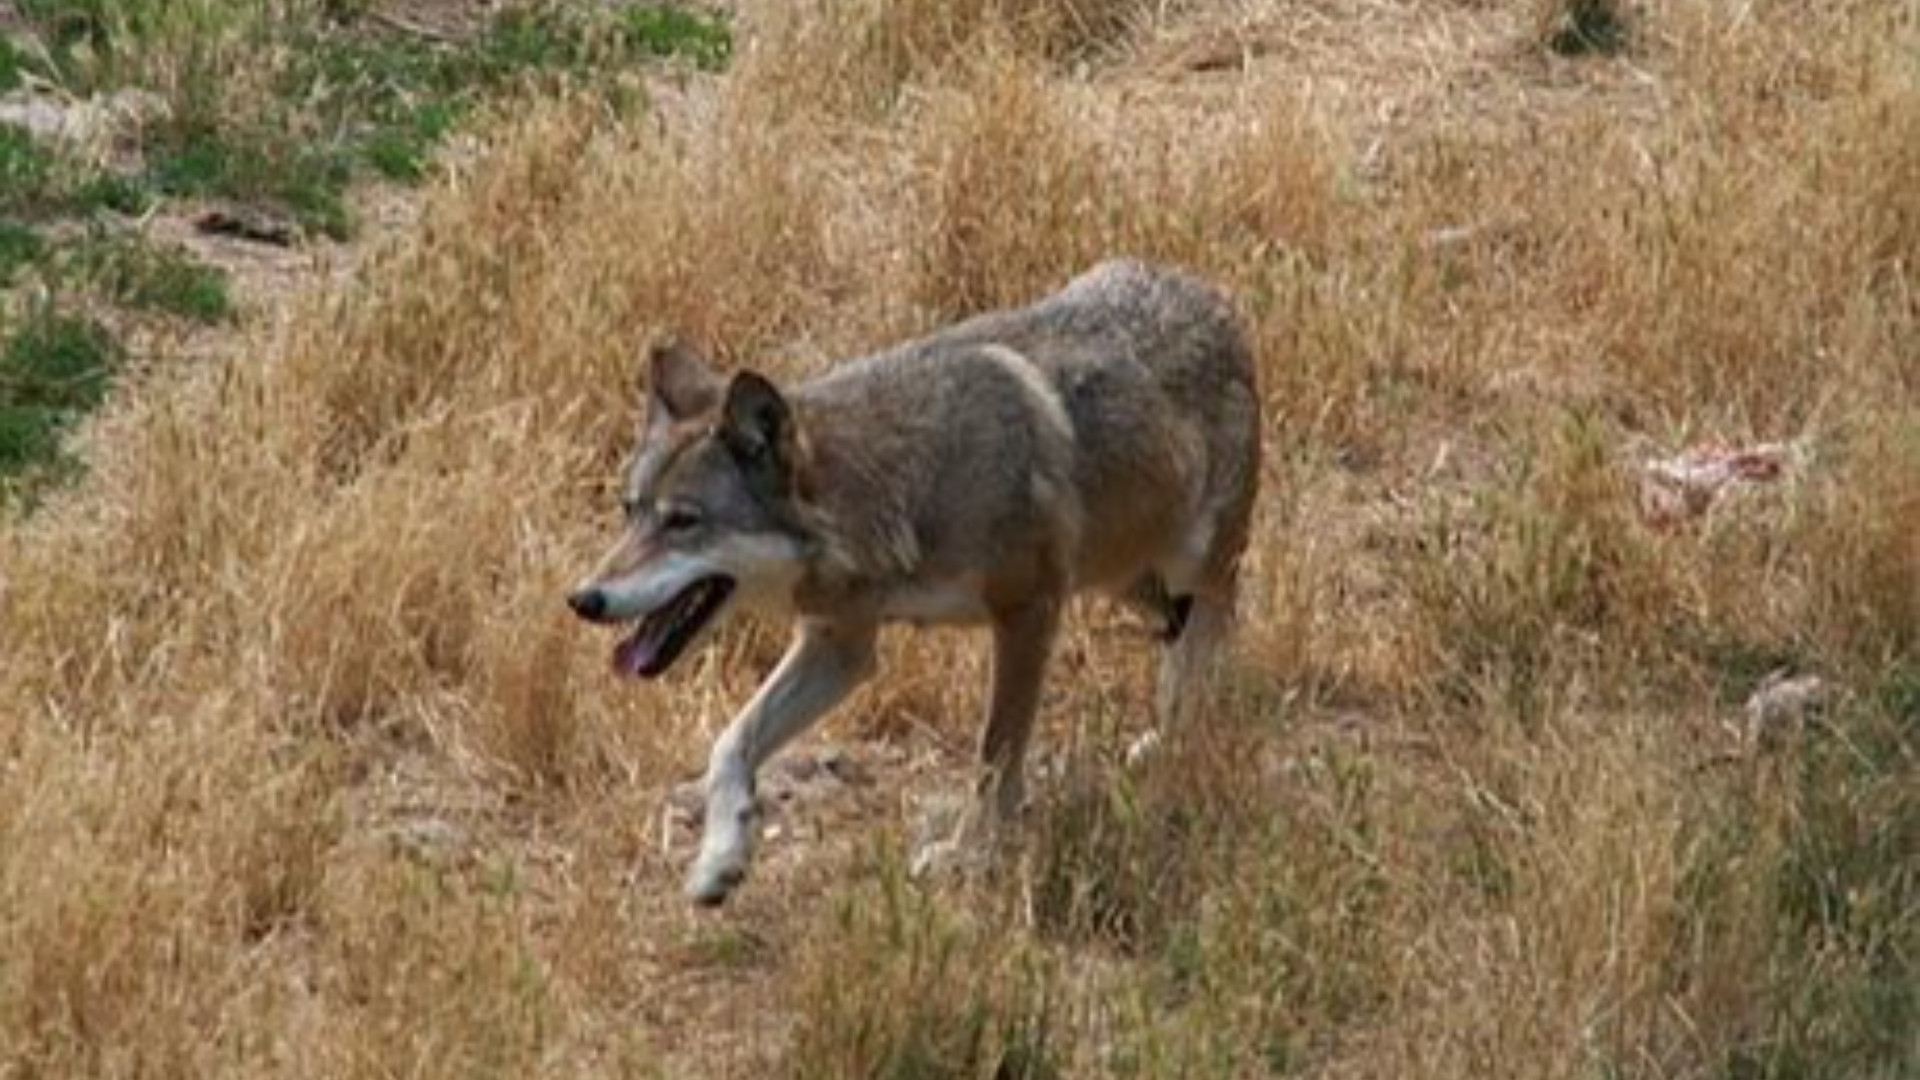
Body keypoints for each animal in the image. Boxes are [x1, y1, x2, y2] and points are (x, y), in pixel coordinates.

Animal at [568, 259, 1260, 906]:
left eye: (683, 522)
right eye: (630, 511)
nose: (582, 599)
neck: (897, 493)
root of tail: (1207, 293)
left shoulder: (1027, 611)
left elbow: (994, 754)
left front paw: (970, 856)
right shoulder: (839, 646)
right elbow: (730, 744)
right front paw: (720, 858)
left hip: (1189, 565)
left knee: (1211, 633)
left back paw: (1185, 739)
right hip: (1130, 581)